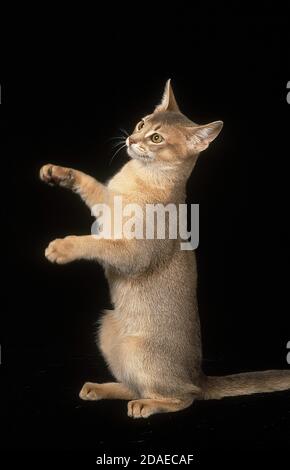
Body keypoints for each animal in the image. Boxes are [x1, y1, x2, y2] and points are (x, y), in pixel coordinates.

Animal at [39, 81, 290, 418]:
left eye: (156, 138)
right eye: (141, 124)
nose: (131, 139)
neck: (142, 176)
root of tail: (199, 375)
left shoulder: (133, 254)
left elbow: (97, 244)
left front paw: (62, 247)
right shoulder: (108, 205)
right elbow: (90, 183)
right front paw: (58, 172)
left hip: (141, 352)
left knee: (183, 396)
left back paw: (145, 405)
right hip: (108, 328)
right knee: (136, 384)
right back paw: (99, 388)